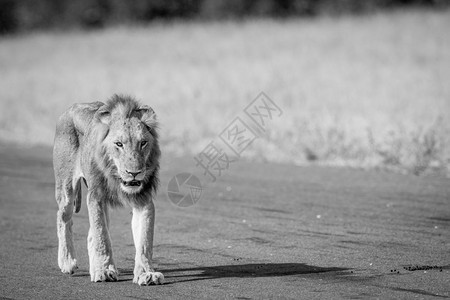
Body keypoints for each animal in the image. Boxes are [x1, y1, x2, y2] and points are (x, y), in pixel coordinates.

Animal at [52, 95, 164, 284]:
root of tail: (70, 109)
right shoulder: (95, 196)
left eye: (143, 143)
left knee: (90, 235)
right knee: (63, 216)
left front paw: (146, 274)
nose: (134, 173)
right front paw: (104, 271)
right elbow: (102, 235)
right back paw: (67, 262)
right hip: (66, 186)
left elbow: (145, 240)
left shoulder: (143, 199)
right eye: (119, 144)